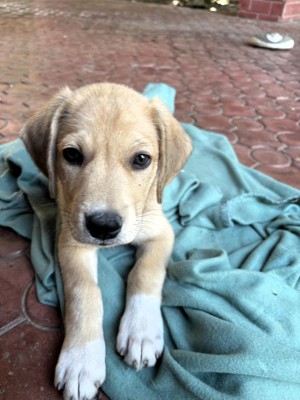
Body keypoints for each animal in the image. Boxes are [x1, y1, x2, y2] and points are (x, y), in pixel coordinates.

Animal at [20, 82, 192, 400]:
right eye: (72, 155)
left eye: (141, 159)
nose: (103, 227)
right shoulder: (71, 242)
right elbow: (86, 292)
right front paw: (81, 360)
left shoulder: (160, 233)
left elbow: (145, 273)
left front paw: (141, 331)